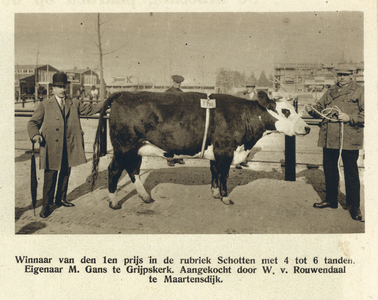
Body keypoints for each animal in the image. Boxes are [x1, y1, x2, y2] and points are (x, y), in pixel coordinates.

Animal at [91, 91, 310, 209]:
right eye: (286, 111)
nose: (307, 127)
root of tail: (124, 93)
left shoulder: (216, 152)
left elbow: (214, 172)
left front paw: (215, 193)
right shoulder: (225, 151)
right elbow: (223, 175)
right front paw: (226, 198)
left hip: (136, 149)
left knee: (133, 170)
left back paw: (145, 197)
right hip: (123, 147)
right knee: (114, 170)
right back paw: (114, 203)